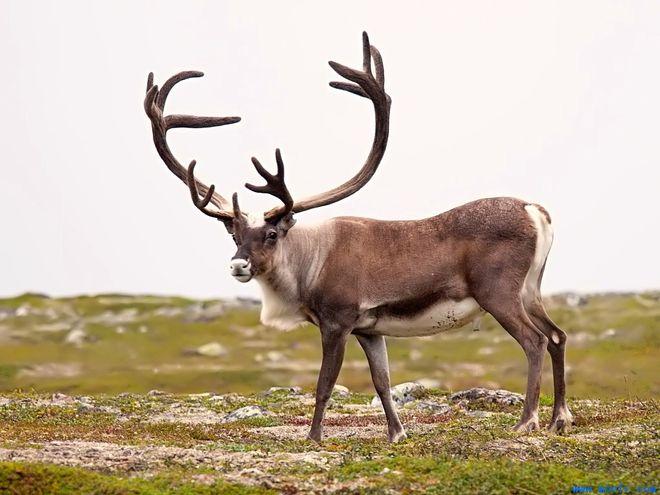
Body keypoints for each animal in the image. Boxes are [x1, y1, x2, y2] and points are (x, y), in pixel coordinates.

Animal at [144, 32, 573, 442]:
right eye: (233, 233)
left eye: (271, 233)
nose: (238, 264)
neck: (309, 264)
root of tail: (534, 210)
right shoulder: (369, 329)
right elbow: (382, 382)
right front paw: (396, 433)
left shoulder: (338, 321)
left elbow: (324, 384)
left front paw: (314, 436)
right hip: (530, 290)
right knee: (557, 335)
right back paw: (559, 419)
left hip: (497, 292)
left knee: (535, 341)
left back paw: (527, 422)